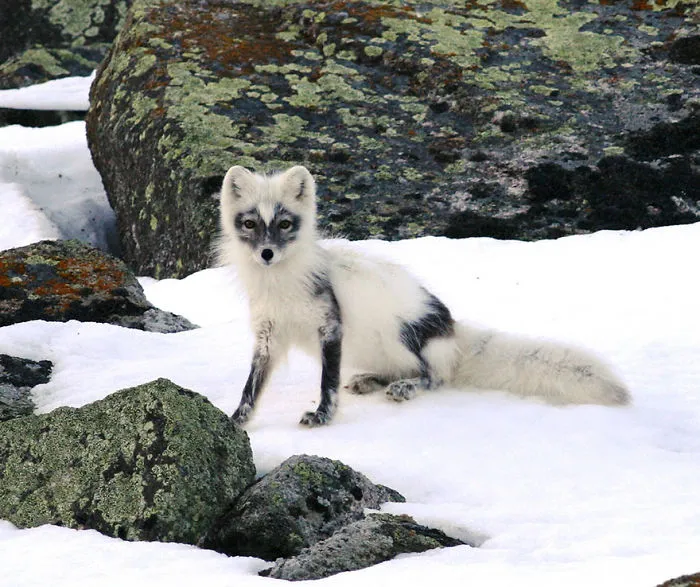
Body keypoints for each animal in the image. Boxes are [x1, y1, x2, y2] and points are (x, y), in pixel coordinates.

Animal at [216, 165, 630, 427]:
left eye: (285, 224)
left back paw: (406, 387)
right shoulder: (267, 335)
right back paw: (372, 381)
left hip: (402, 335)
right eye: (250, 223)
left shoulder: (330, 326)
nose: (266, 253)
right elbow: (252, 386)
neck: (281, 284)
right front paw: (237, 421)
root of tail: (453, 329)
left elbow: (328, 383)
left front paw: (322, 417)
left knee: (435, 376)